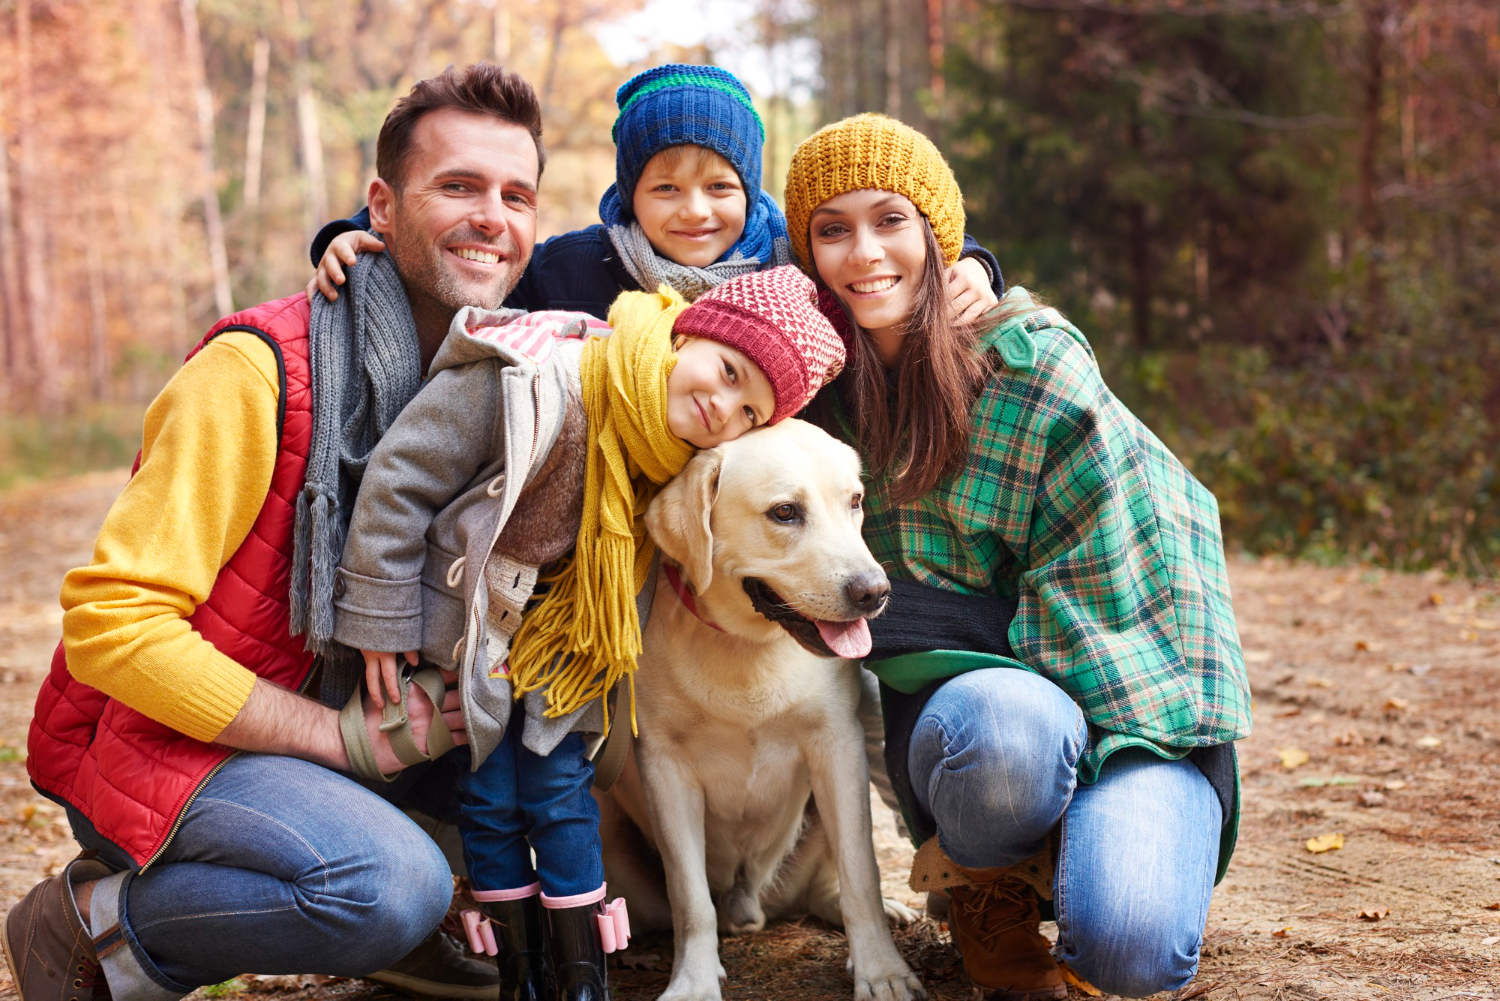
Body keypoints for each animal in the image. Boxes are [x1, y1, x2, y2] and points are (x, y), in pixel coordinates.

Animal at [597, 420, 924, 1001]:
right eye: (785, 512)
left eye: (855, 502)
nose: (875, 592)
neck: (749, 647)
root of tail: (753, 907)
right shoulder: (664, 766)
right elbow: (690, 899)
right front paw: (693, 981)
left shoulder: (838, 747)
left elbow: (860, 871)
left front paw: (882, 969)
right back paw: (630, 953)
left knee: (827, 890)